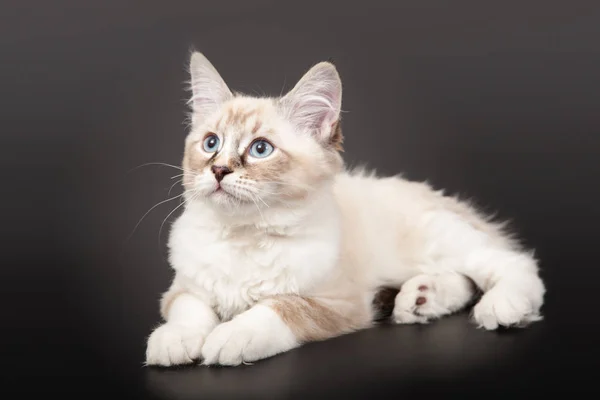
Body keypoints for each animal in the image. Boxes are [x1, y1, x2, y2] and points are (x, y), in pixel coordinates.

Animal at [144, 52, 544, 366]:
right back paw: (420, 299)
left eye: (260, 149)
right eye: (211, 144)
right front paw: (174, 341)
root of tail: (440, 197)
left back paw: (502, 307)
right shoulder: (184, 287)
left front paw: (230, 337)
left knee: (513, 264)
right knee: (464, 278)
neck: (245, 235)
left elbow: (277, 308)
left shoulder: (337, 303)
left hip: (441, 243)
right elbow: (189, 310)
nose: (219, 170)